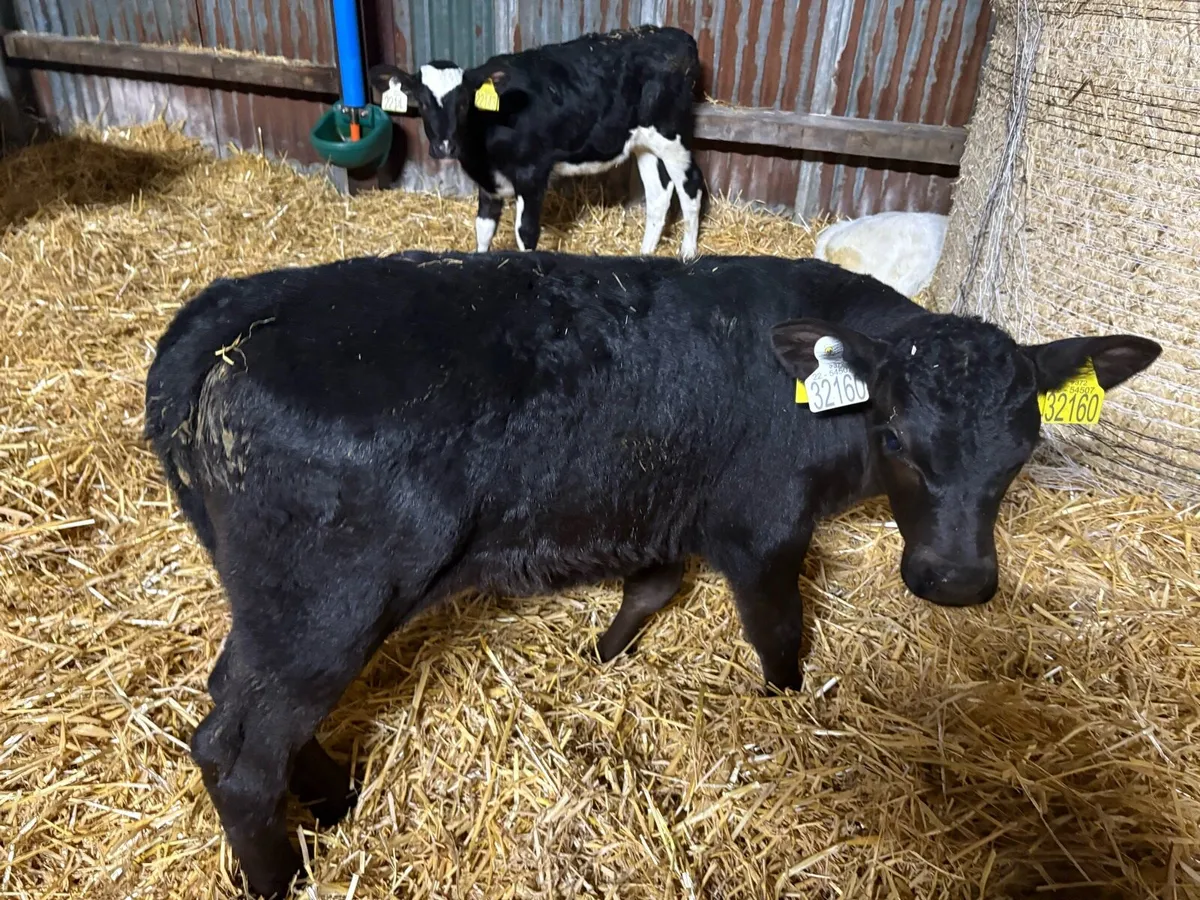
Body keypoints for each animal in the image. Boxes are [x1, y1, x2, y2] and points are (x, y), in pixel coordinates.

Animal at [143, 249, 1160, 897]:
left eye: (1023, 449)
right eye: (900, 437)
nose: (955, 579)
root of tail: (230, 312)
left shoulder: (663, 506)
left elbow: (655, 585)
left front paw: (603, 658)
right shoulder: (761, 528)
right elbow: (778, 635)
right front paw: (786, 712)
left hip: (276, 605)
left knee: (238, 707)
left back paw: (332, 801)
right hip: (332, 602)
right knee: (238, 752)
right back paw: (282, 877)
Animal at [368, 25, 706, 259]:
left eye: (464, 102)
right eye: (422, 102)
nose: (445, 147)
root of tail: (675, 35)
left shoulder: (532, 173)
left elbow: (526, 232)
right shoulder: (488, 183)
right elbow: (483, 228)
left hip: (672, 135)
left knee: (690, 186)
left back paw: (687, 253)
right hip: (643, 143)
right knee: (660, 194)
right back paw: (645, 255)